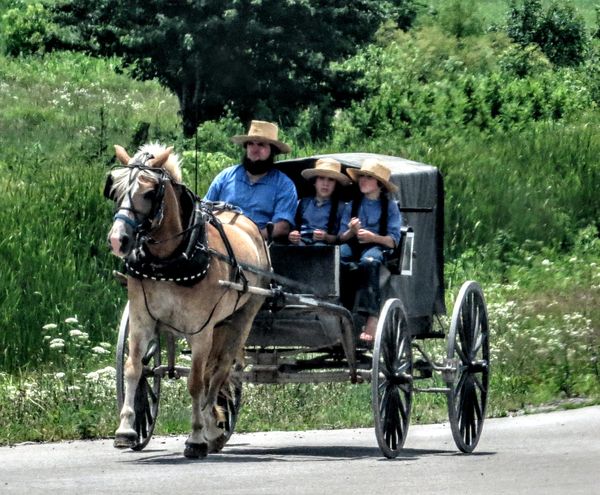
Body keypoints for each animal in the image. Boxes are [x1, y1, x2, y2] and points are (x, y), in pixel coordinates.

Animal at [105, 142, 270, 458]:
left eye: (149, 192)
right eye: (115, 189)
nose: (118, 240)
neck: (169, 260)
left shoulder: (200, 330)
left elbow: (196, 382)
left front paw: (195, 437)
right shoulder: (141, 319)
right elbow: (134, 369)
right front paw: (127, 430)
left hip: (242, 317)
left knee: (219, 370)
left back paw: (210, 427)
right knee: (214, 374)